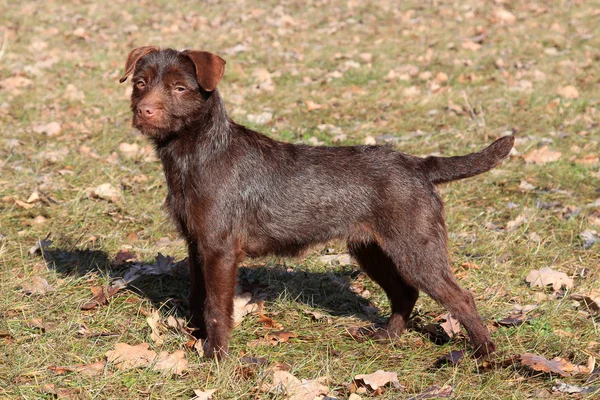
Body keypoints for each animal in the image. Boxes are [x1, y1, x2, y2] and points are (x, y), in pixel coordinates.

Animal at [119, 47, 512, 360]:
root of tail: (418, 164)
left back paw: (484, 354)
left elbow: (216, 306)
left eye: (179, 88)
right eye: (140, 83)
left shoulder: (220, 249)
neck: (198, 153)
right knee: (405, 293)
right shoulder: (196, 243)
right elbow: (197, 295)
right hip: (372, 250)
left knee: (460, 297)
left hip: (416, 250)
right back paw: (387, 337)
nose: (144, 111)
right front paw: (197, 338)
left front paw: (215, 355)